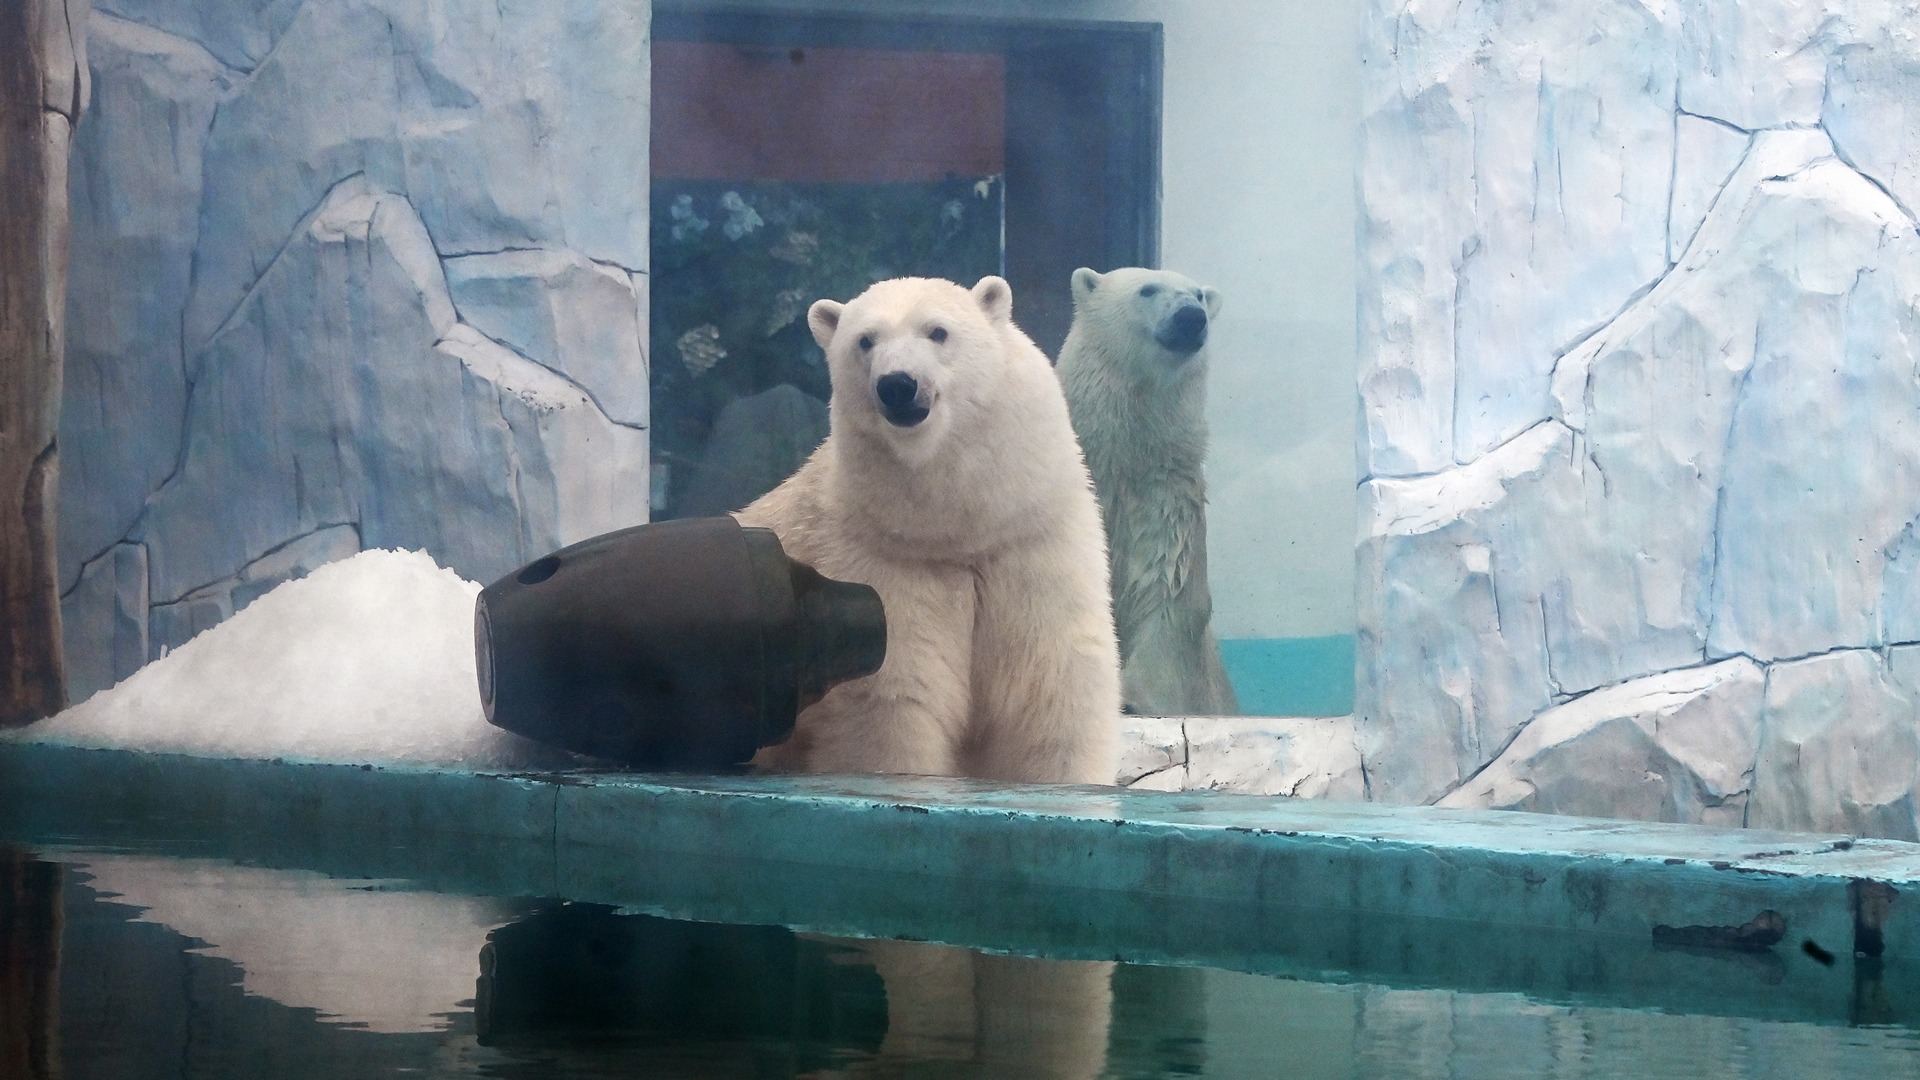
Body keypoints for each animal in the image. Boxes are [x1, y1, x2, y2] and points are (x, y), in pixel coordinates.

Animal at [736, 275, 1121, 785]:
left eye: (938, 331)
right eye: (865, 340)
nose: (897, 385)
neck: (955, 533)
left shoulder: (1031, 540)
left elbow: (1051, 684)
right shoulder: (879, 561)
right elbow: (897, 692)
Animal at [1055, 266, 1240, 717]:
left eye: (1198, 295)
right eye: (1147, 289)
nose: (1191, 317)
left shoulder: (1165, 503)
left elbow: (1167, 598)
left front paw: (1130, 698)